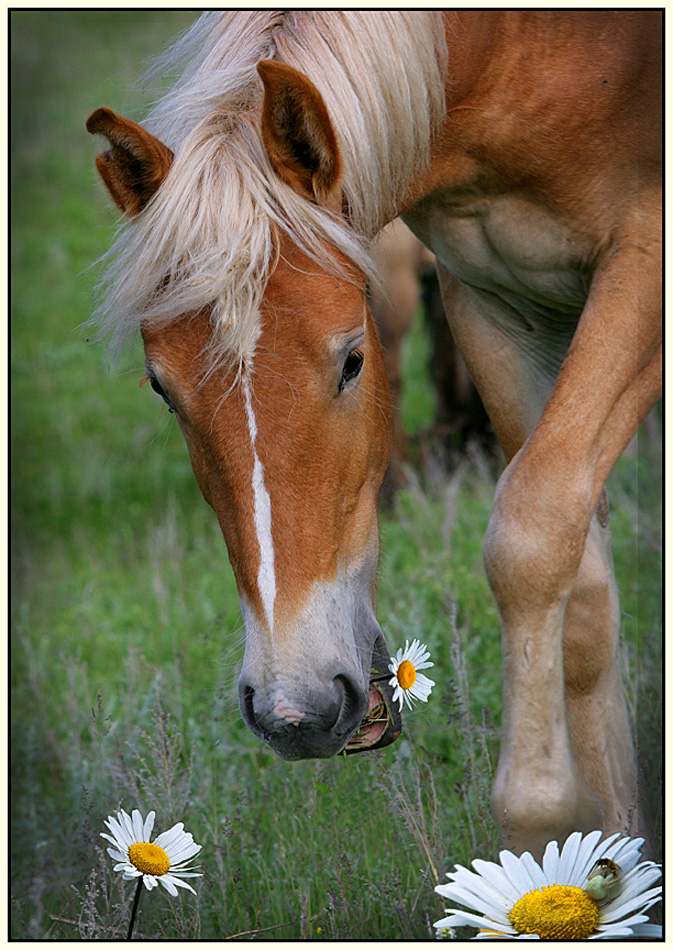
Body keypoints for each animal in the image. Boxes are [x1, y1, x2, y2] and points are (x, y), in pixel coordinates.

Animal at [86, 9, 660, 864]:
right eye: (163, 390)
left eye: (352, 360)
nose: (294, 708)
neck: (513, 50)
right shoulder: (492, 299)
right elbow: (580, 578)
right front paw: (612, 861)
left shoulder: (641, 265)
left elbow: (528, 533)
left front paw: (537, 815)